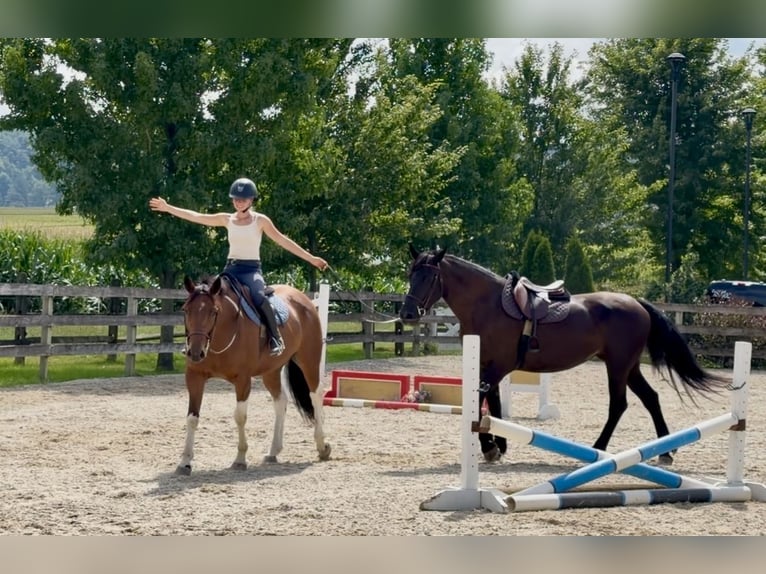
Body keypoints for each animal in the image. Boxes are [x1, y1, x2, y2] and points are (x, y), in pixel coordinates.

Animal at [177, 274, 331, 475]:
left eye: (213, 312)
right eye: (186, 310)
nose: (195, 353)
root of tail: (304, 299)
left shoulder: (242, 381)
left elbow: (240, 416)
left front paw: (240, 459)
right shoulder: (195, 377)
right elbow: (192, 418)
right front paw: (185, 462)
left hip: (308, 360)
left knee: (315, 394)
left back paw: (322, 446)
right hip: (271, 371)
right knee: (280, 401)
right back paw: (273, 451)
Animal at [399, 245, 730, 464]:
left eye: (429, 277)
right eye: (411, 274)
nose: (407, 313)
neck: (489, 306)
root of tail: (636, 302)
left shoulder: (499, 365)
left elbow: (482, 402)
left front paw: (490, 446)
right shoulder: (486, 364)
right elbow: (492, 405)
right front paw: (498, 446)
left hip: (618, 366)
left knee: (619, 404)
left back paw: (599, 448)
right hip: (630, 366)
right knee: (651, 398)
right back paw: (666, 451)